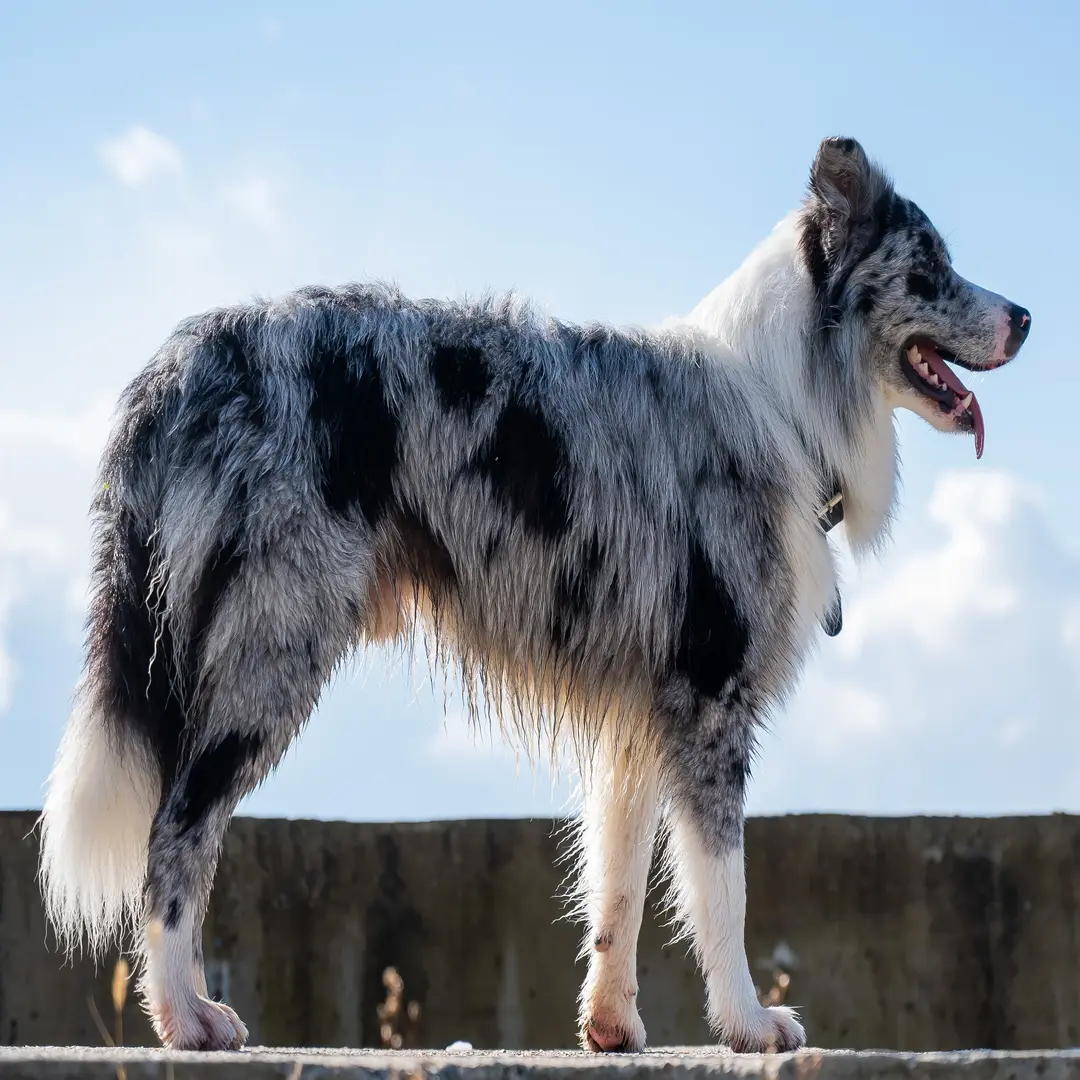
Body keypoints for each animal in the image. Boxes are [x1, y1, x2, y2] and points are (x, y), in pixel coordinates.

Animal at [35, 137, 1028, 1054]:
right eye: (931, 268)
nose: (1026, 315)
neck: (790, 396)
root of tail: (177, 366)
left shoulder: (639, 722)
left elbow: (619, 888)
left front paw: (613, 1027)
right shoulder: (711, 702)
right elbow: (725, 888)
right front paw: (749, 1024)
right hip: (269, 650)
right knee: (177, 827)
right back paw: (186, 1016)